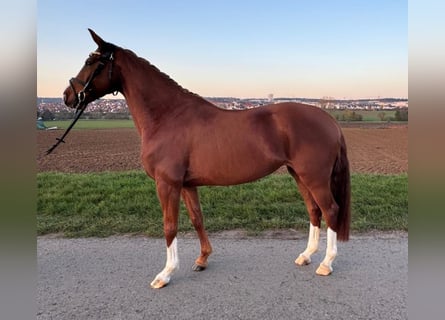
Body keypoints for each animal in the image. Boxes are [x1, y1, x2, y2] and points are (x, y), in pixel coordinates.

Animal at [62, 30, 350, 290]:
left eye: (90, 62)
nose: (67, 96)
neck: (168, 116)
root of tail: (330, 120)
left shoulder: (167, 184)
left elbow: (170, 226)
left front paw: (165, 274)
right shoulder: (187, 184)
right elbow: (196, 219)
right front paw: (202, 259)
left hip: (314, 178)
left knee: (330, 210)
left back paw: (326, 263)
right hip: (299, 175)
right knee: (314, 211)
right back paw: (306, 256)